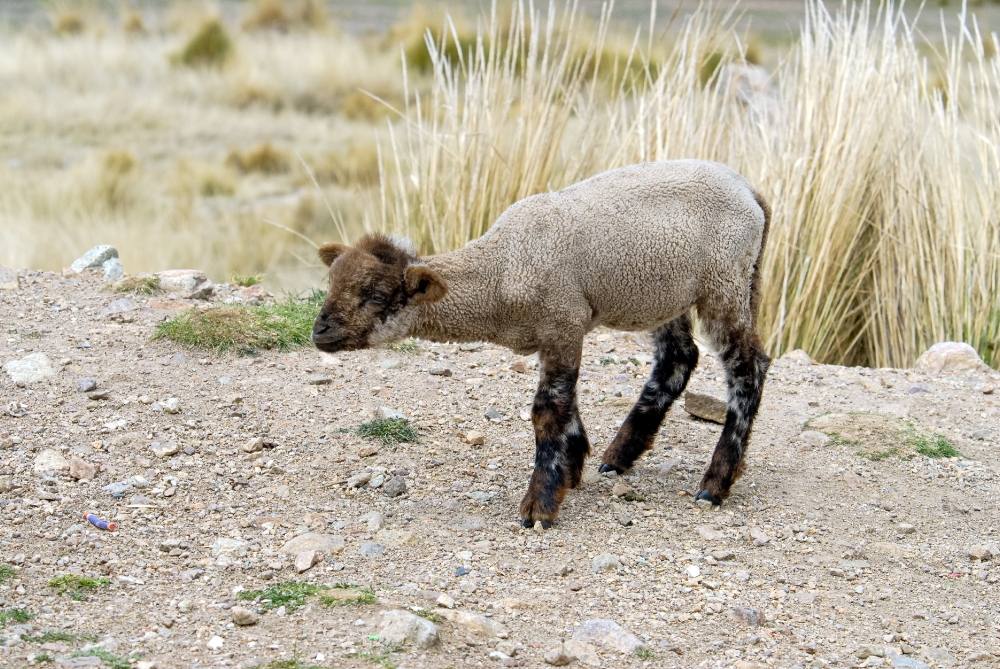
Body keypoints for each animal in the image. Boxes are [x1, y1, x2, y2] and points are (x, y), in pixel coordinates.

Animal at [312, 159, 772, 524]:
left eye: (375, 296)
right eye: (330, 283)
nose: (319, 331)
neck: (499, 272)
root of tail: (750, 190)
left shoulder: (563, 322)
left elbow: (548, 411)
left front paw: (541, 503)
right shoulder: (557, 334)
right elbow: (566, 406)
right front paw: (572, 466)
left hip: (724, 280)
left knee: (748, 368)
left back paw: (715, 482)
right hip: (667, 293)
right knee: (678, 358)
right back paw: (619, 456)